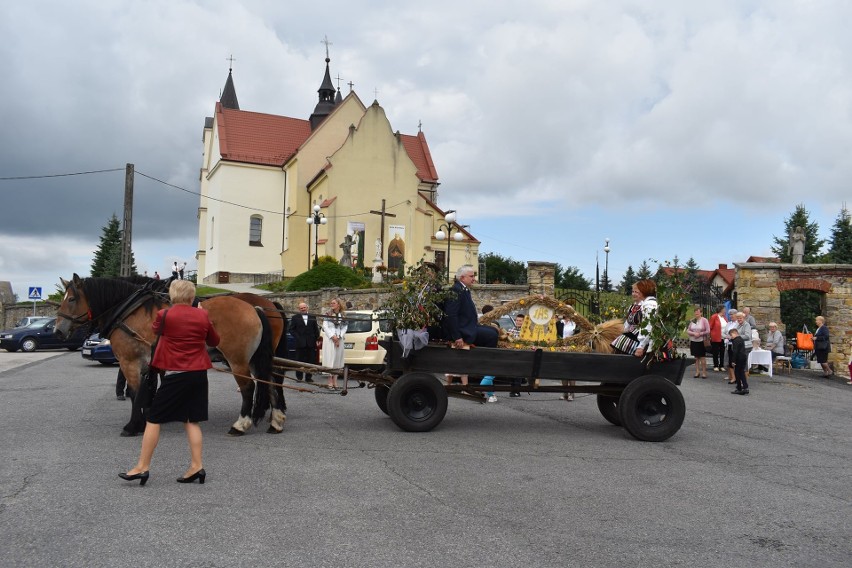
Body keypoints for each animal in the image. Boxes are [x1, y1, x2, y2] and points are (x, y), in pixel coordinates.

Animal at [54, 276, 286, 434]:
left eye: (72, 299)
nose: (57, 330)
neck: (129, 310)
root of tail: (256, 308)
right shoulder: (150, 362)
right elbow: (149, 390)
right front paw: (150, 416)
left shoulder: (129, 361)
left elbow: (135, 392)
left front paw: (133, 425)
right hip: (256, 359)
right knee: (270, 382)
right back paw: (275, 420)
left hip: (237, 359)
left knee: (249, 388)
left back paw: (241, 424)